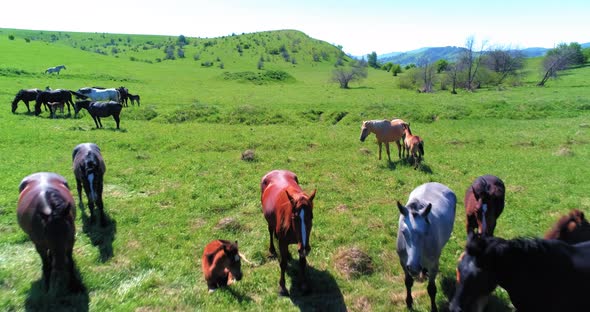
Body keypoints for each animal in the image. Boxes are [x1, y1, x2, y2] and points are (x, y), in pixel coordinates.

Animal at [398, 182, 458, 312]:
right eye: (403, 232)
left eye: (425, 232)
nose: (414, 268)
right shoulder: (403, 262)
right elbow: (408, 282)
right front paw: (409, 302)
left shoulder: (433, 265)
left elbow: (431, 289)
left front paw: (434, 308)